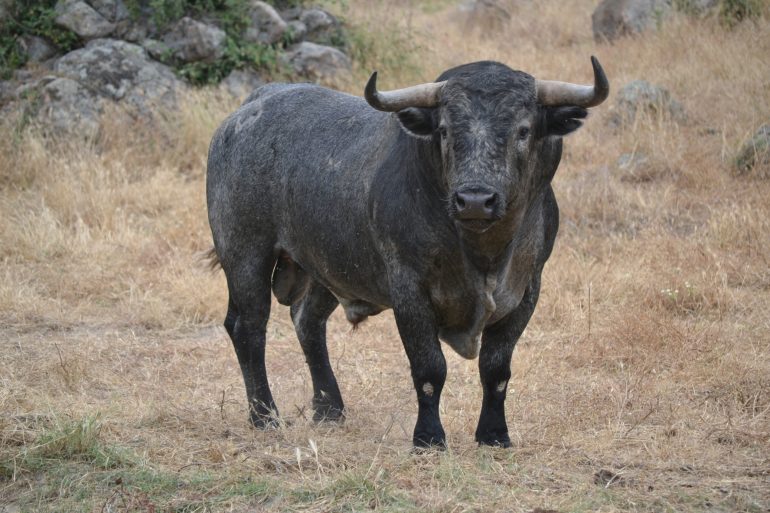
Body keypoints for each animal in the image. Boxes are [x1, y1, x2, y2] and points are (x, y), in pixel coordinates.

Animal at [207, 57, 608, 448]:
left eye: (523, 130)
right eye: (444, 130)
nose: (475, 200)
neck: (483, 252)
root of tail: (246, 111)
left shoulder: (526, 290)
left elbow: (496, 370)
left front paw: (494, 434)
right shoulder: (409, 291)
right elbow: (429, 368)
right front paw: (428, 436)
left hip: (327, 267)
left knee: (307, 321)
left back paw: (329, 408)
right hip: (246, 256)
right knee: (249, 327)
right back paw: (264, 416)